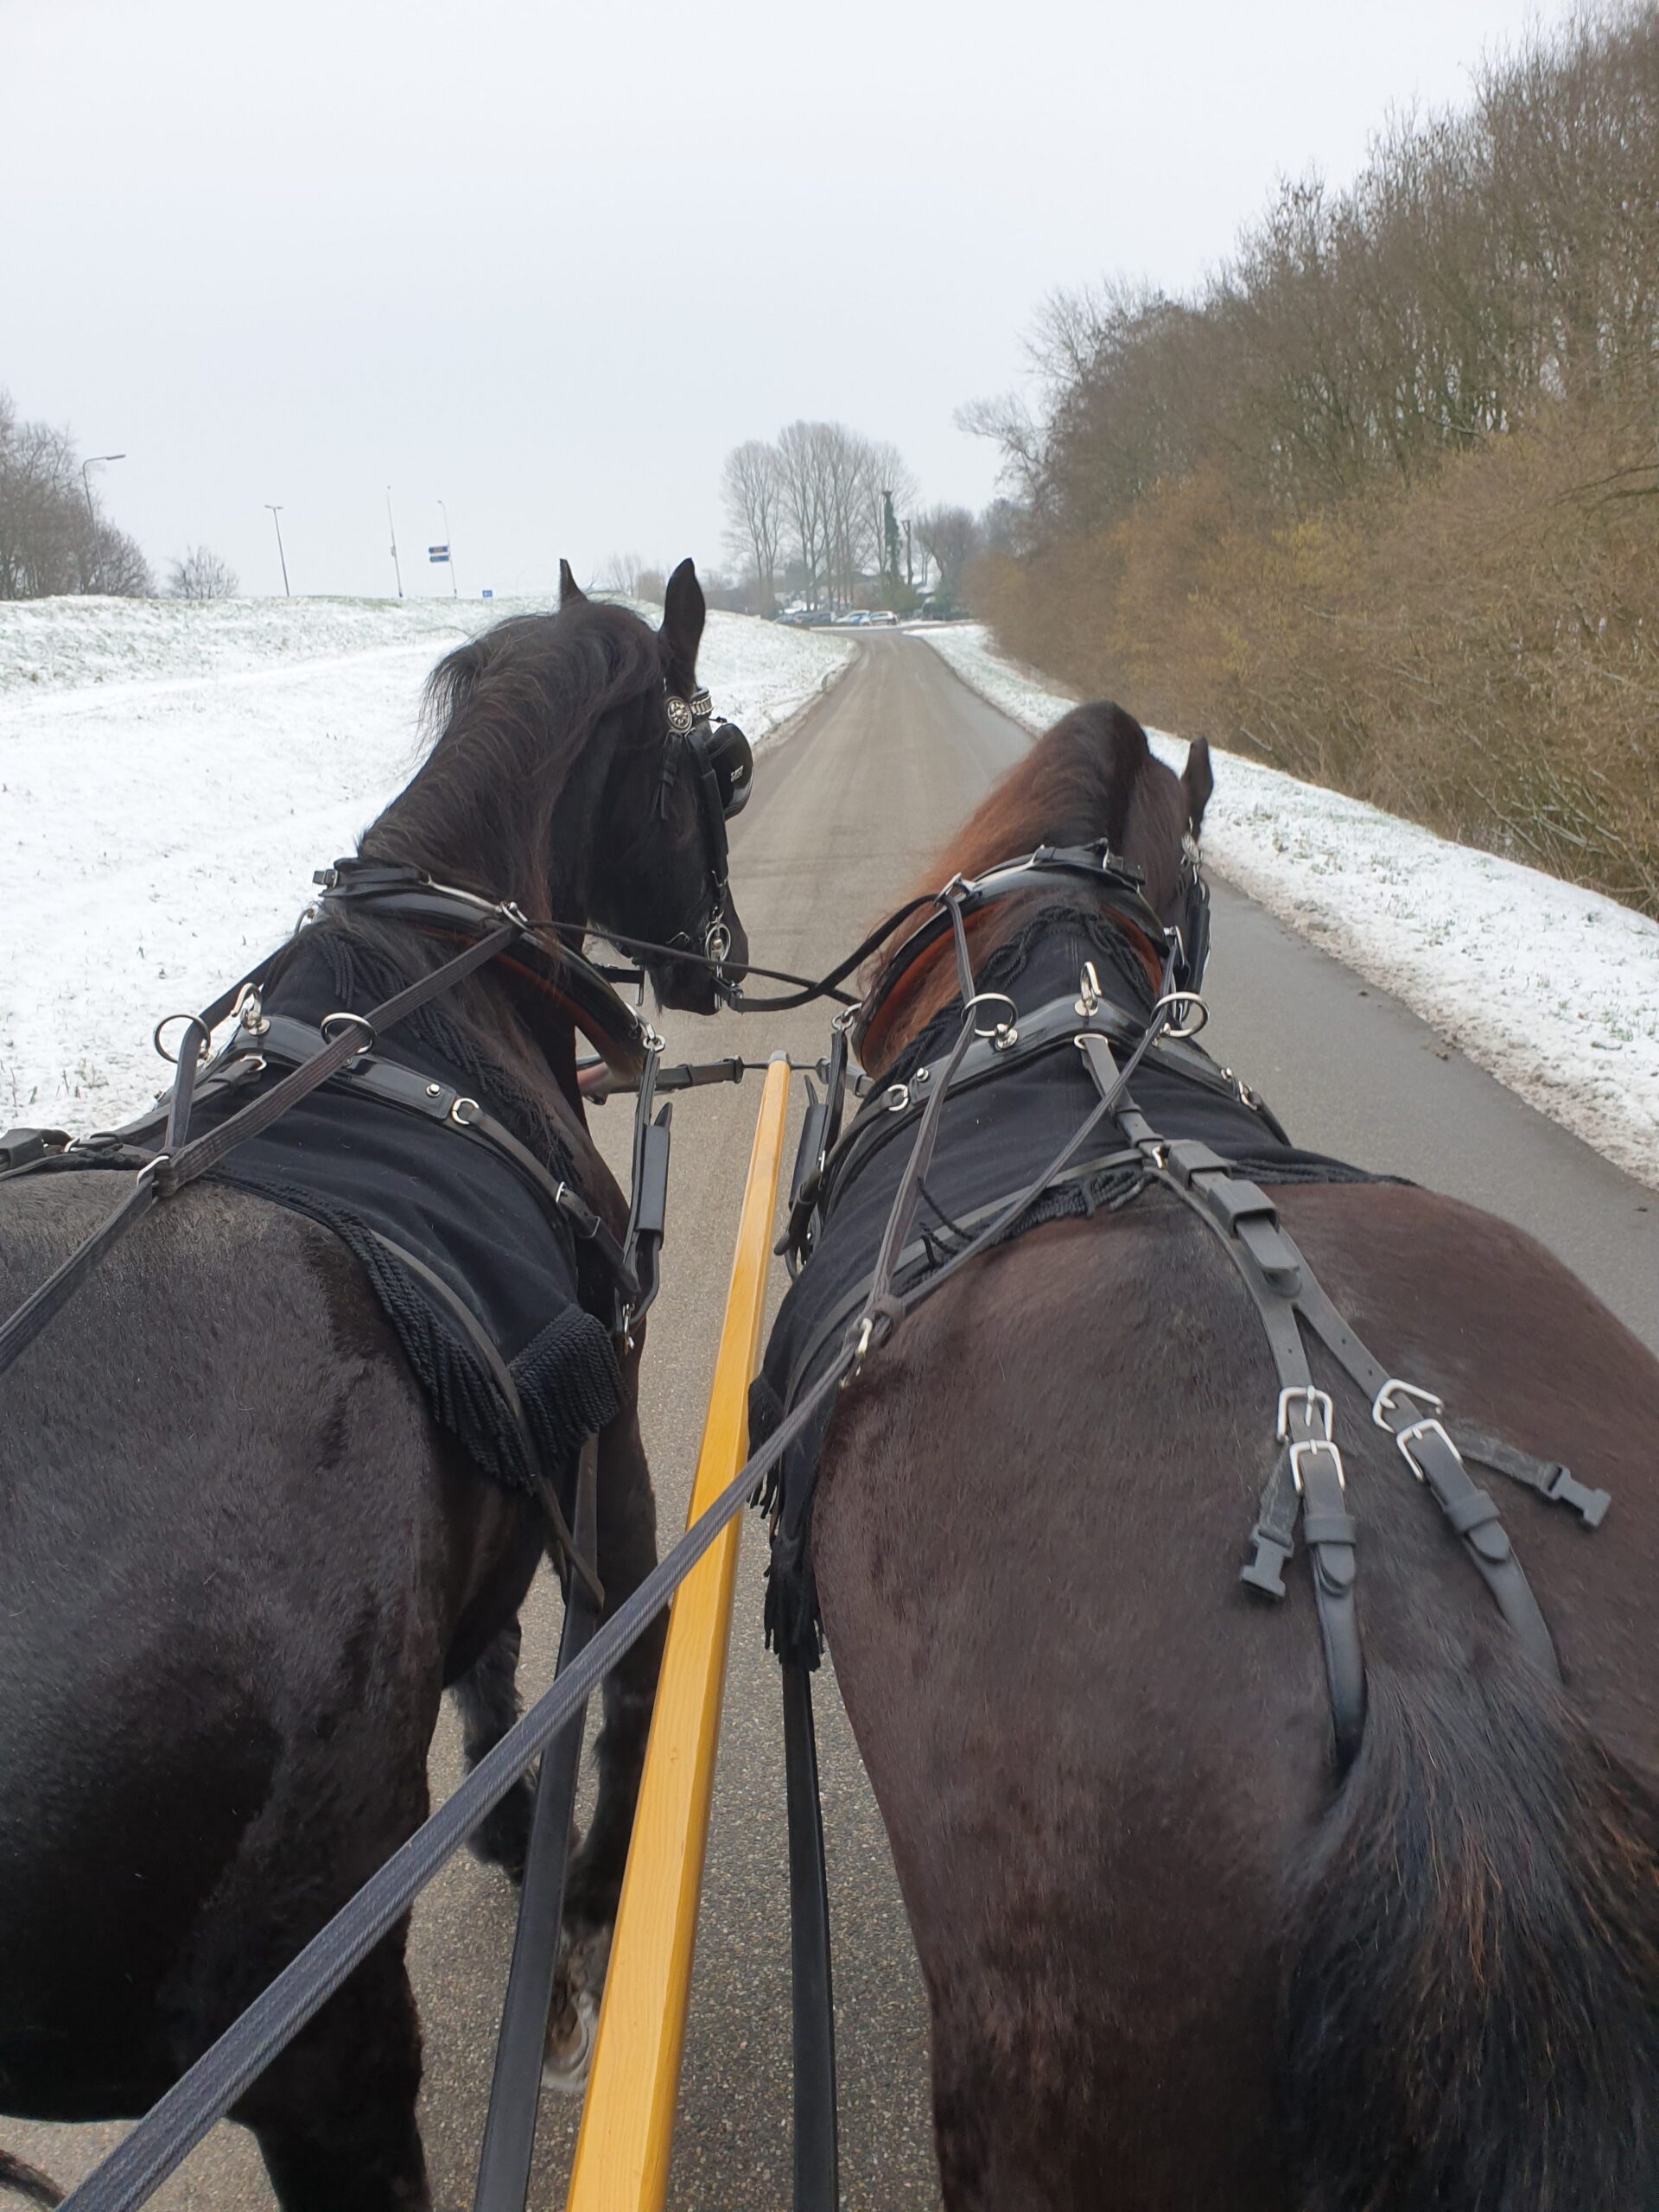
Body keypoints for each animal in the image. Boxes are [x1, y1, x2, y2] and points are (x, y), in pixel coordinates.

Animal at [0, 560, 747, 2210]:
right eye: (715, 768)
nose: (723, 957)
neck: (423, 988)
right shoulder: (601, 1428)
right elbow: (621, 1655)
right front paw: (592, 1892)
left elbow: (485, 1659)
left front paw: (517, 1830)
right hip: (318, 2030)